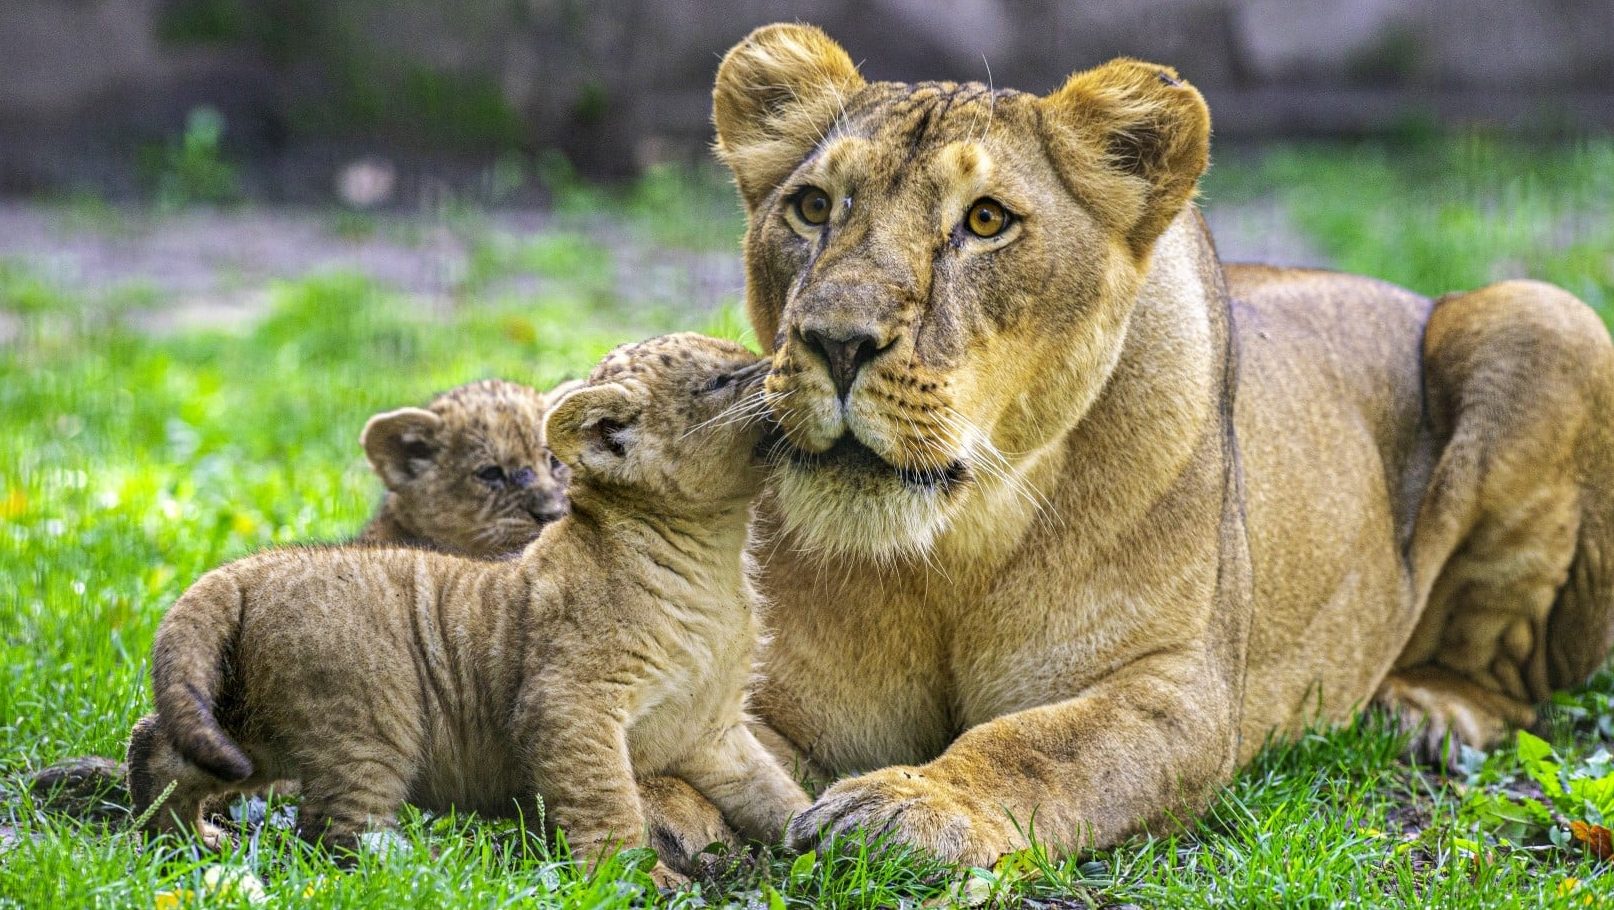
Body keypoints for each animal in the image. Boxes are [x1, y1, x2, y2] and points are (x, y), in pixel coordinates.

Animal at [694, 19, 1614, 858]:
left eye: (986, 221)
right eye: (813, 207)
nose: (837, 341)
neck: (954, 550)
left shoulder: (1178, 693)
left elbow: (1033, 748)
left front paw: (913, 806)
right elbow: (701, 748)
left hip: (1544, 316)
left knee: (1513, 677)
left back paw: (1424, 711)